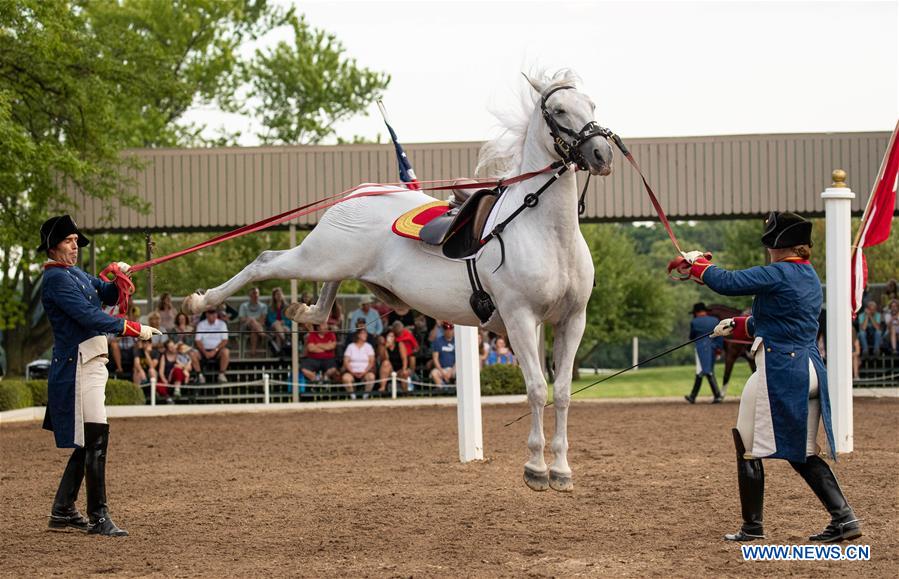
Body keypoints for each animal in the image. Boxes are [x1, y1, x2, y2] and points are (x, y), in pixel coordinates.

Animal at [182, 70, 614, 492]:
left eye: (592, 105)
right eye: (558, 109)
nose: (602, 154)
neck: (546, 233)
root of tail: (359, 192)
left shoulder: (571, 321)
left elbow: (561, 392)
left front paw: (561, 470)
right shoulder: (520, 318)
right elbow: (538, 389)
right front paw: (536, 468)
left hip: (335, 263)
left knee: (323, 297)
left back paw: (301, 310)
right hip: (316, 257)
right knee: (264, 262)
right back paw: (200, 302)